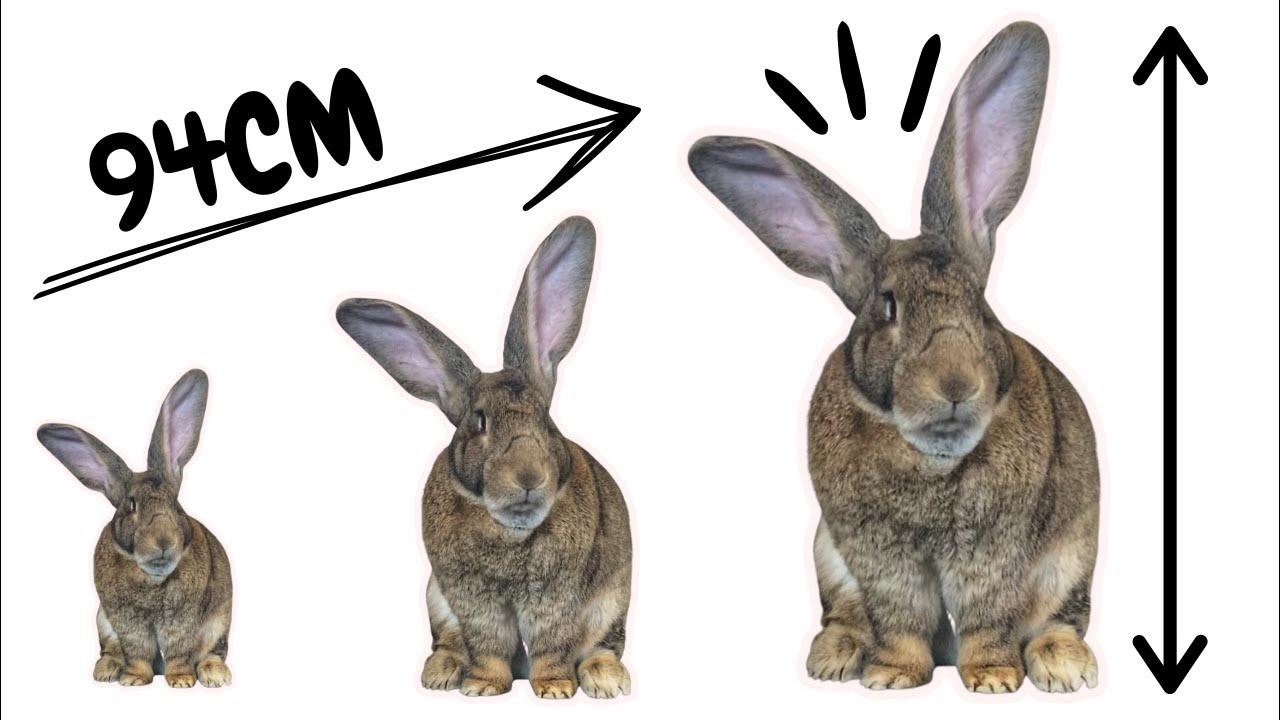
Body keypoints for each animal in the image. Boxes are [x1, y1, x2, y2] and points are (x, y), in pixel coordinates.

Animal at [36, 369, 232, 688]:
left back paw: (214, 675)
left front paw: (181, 681)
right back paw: (106, 671)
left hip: (220, 623)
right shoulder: (127, 624)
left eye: (176, 505)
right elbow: (137, 651)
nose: (163, 540)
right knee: (112, 650)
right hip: (103, 623)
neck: (152, 578)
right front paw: (133, 680)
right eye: (131, 505)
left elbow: (180, 652)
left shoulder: (184, 623)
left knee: (213, 651)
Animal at [336, 216, 632, 700]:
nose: (528, 476)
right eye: (479, 422)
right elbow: (489, 644)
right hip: (436, 601)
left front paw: (554, 689)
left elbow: (553, 644)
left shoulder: (559, 599)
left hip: (613, 601)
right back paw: (441, 674)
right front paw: (482, 687)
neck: (510, 531)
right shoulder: (472, 600)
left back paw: (606, 681)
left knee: (603, 644)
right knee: (452, 642)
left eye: (546, 420)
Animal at [688, 22, 1099, 694]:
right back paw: (835, 659)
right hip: (829, 559)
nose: (955, 383)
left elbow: (990, 617)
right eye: (887, 308)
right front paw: (892, 677)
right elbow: (901, 617)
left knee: (1059, 616)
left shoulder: (998, 556)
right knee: (851, 614)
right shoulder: (878, 556)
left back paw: (1063, 667)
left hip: (1072, 557)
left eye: (980, 305)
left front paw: (992, 679)